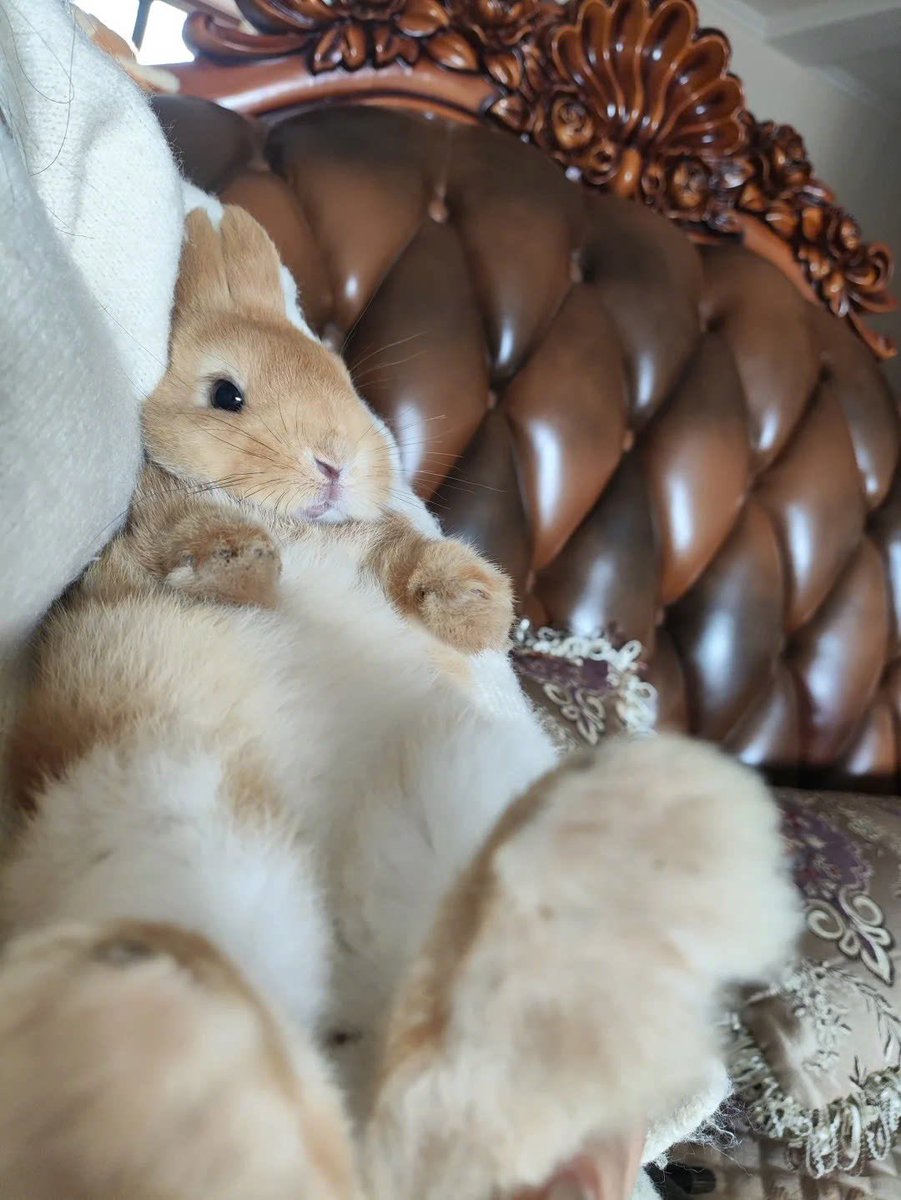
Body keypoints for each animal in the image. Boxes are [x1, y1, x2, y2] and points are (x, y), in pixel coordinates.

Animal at [0, 203, 802, 1200]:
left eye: (341, 380)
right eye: (225, 396)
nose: (336, 463)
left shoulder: (373, 549)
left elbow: (404, 558)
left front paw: (475, 606)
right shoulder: (147, 537)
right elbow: (190, 535)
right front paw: (241, 567)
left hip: (434, 802)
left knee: (438, 1091)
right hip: (180, 814)